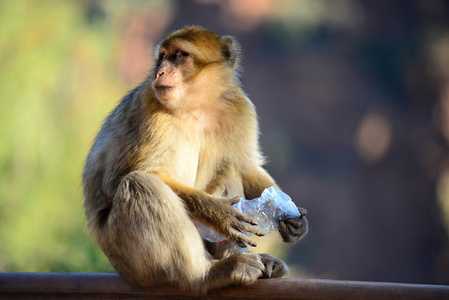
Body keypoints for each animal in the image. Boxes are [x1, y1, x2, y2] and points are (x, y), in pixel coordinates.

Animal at [82, 25, 308, 292]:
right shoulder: (151, 110)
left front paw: (292, 219)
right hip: (128, 259)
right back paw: (206, 274)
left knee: (229, 170)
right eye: (163, 56)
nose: (159, 72)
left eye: (179, 55)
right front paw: (218, 213)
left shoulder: (240, 108)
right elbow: (127, 178)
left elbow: (247, 168)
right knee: (140, 184)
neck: (198, 105)